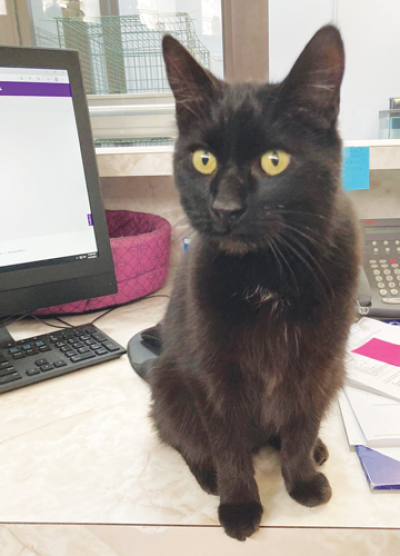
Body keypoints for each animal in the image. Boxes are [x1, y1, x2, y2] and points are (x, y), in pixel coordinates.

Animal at [144, 25, 360, 540]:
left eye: (274, 161)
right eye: (203, 160)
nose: (224, 208)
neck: (269, 275)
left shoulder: (317, 363)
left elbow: (301, 423)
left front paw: (302, 480)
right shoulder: (213, 371)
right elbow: (226, 441)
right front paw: (240, 504)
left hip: (337, 372)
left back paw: (316, 451)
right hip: (168, 382)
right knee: (183, 438)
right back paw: (209, 477)